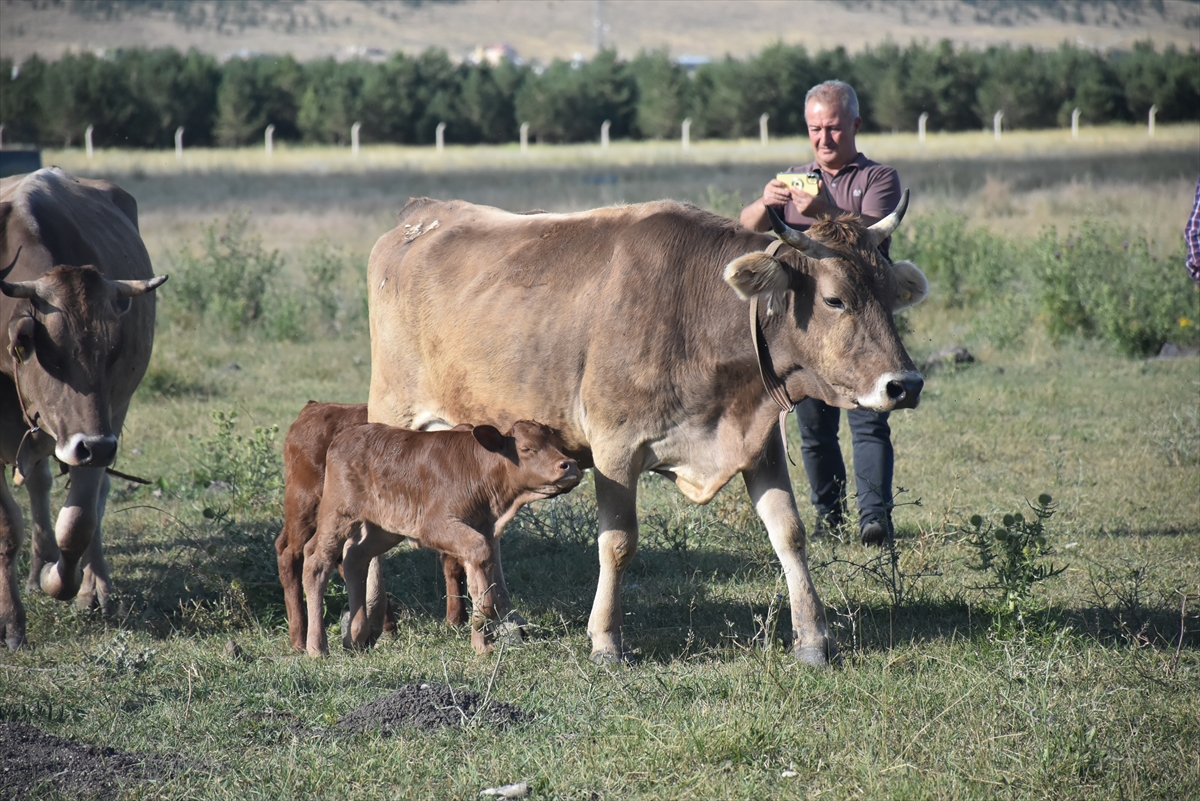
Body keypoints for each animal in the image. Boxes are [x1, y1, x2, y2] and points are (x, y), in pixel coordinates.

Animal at [0, 169, 166, 652]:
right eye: (48, 351)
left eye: (112, 350)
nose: (98, 447)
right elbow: (8, 528)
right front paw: (11, 621)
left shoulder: (100, 427)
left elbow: (77, 523)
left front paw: (64, 582)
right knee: (38, 485)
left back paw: (91, 588)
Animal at [302, 422, 578, 652]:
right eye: (526, 448)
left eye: (559, 445)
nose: (570, 464)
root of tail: (348, 434)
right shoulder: (436, 526)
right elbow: (482, 567)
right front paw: (481, 630)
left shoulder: (483, 531)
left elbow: (480, 582)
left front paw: (481, 644)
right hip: (338, 512)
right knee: (317, 561)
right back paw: (317, 647)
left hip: (385, 527)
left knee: (355, 556)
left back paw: (356, 636)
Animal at [364, 191, 926, 661]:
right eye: (834, 299)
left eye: (888, 294)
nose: (905, 384)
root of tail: (421, 215)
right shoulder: (615, 447)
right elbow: (617, 543)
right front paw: (606, 641)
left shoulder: (759, 441)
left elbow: (788, 532)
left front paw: (812, 639)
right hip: (391, 411)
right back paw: (376, 623)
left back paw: (506, 622)